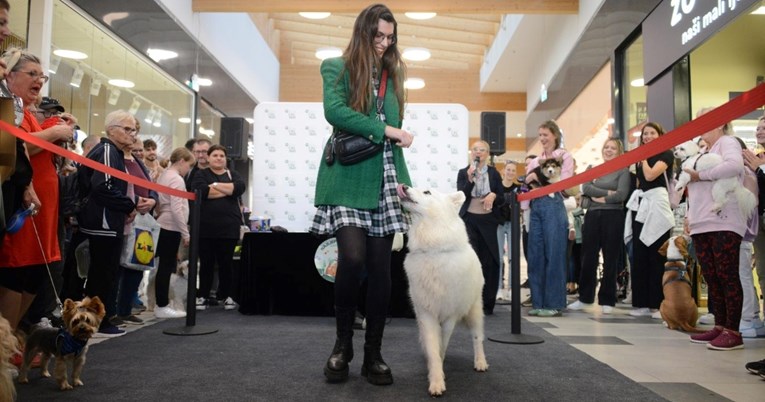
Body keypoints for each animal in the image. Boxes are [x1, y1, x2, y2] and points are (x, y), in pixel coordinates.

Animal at [396, 185, 486, 396]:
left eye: (427, 192)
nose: (403, 186)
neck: (433, 251)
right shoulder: (426, 314)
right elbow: (432, 346)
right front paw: (436, 380)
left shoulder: (449, 316)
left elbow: (442, 345)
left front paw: (438, 374)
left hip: (474, 311)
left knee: (478, 338)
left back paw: (480, 362)